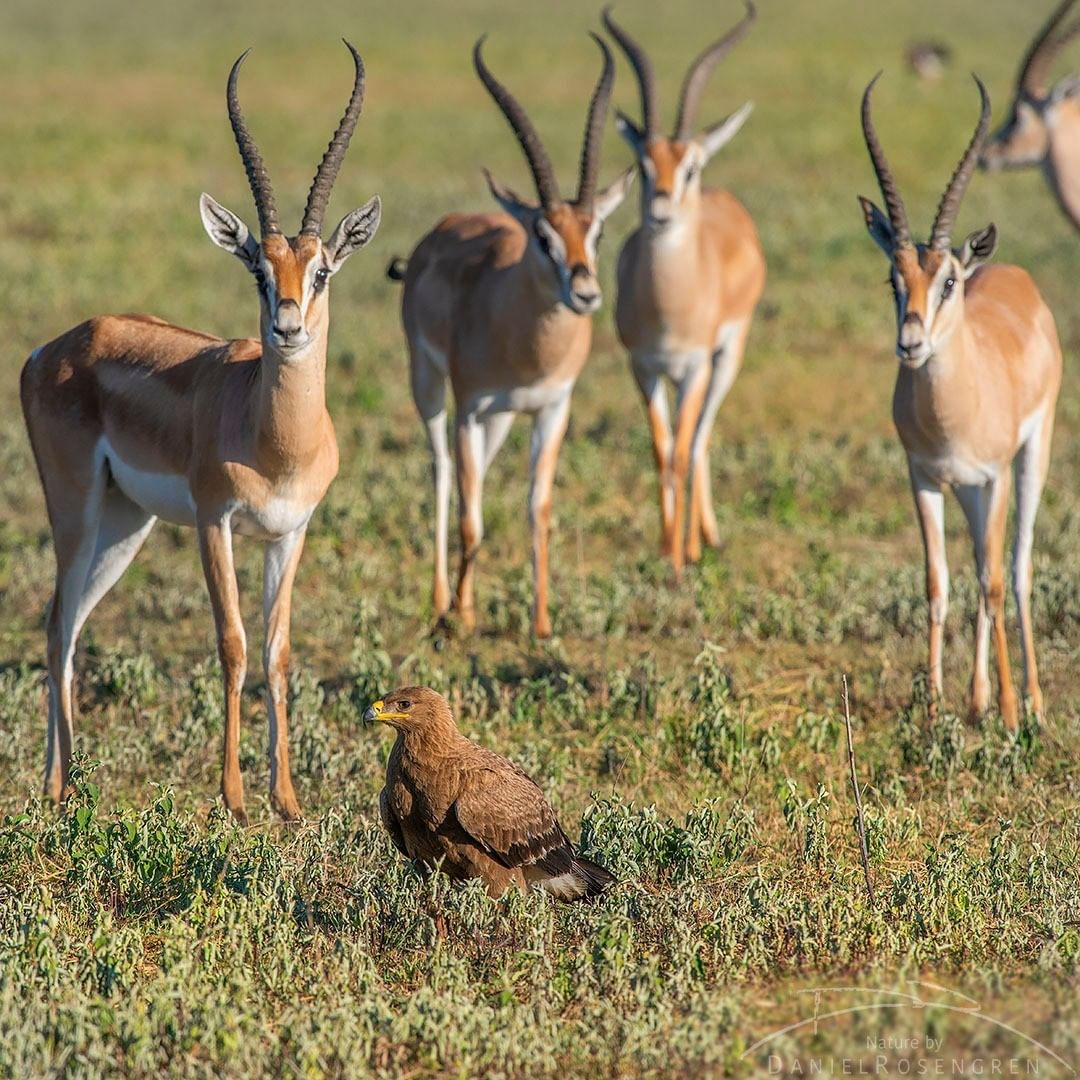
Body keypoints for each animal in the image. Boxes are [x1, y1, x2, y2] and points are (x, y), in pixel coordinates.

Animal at [19, 39, 384, 816]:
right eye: (258, 271)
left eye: (322, 271)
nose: (287, 327)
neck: (276, 441)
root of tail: (53, 347)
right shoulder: (215, 523)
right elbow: (233, 644)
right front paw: (235, 798)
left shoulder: (290, 532)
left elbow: (277, 650)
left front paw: (287, 800)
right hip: (76, 508)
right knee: (57, 624)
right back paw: (62, 790)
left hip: (125, 524)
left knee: (72, 618)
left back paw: (66, 783)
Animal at [393, 35, 630, 639]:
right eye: (543, 235)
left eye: (597, 231)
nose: (585, 294)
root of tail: (441, 229)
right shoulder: (469, 408)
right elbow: (470, 518)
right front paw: (460, 617)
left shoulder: (551, 408)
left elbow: (536, 510)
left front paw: (542, 622)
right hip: (430, 387)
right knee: (443, 475)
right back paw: (442, 602)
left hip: (500, 419)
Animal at [604, 2, 764, 574]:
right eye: (643, 165)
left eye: (690, 166)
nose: (660, 212)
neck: (668, 308)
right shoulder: (642, 367)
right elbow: (660, 449)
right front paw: (663, 547)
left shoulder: (695, 365)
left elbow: (681, 449)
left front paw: (676, 559)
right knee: (690, 440)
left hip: (727, 357)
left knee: (699, 438)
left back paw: (702, 541)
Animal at [859, 71, 1062, 730]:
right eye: (894, 279)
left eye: (948, 280)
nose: (911, 343)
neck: (951, 412)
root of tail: (1012, 275)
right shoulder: (923, 476)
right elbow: (938, 581)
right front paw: (932, 706)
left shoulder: (993, 475)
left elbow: (995, 580)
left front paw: (1009, 711)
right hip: (968, 490)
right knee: (975, 565)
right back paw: (975, 696)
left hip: (1030, 459)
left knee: (1015, 568)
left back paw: (1032, 700)